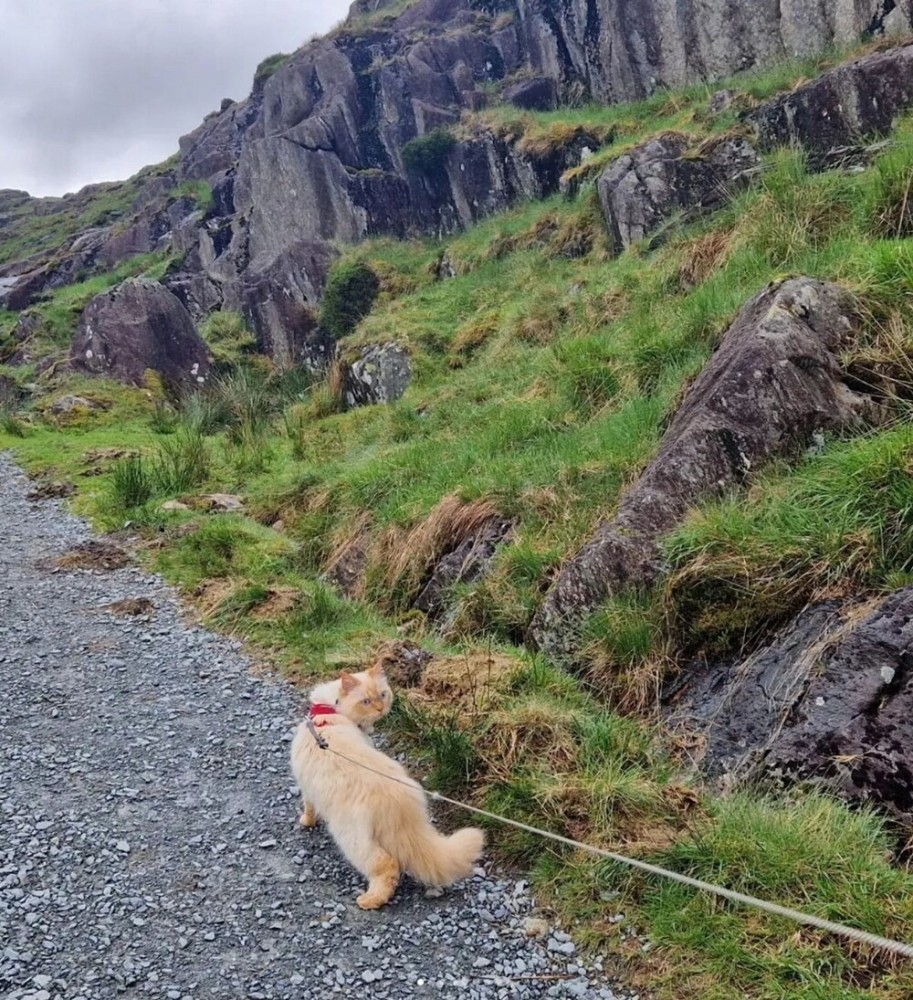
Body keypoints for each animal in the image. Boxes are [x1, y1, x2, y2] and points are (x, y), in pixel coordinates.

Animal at [290, 660, 484, 912]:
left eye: (382, 695)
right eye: (366, 701)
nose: (381, 709)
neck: (328, 712)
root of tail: (399, 799)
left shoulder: (306, 787)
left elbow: (308, 808)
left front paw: (306, 822)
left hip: (352, 839)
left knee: (387, 866)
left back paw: (369, 900)